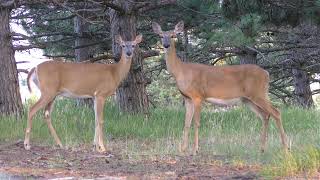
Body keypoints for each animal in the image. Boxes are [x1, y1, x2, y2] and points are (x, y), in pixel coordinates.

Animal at [151, 21, 288, 155]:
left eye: (173, 35)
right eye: (161, 36)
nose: (166, 45)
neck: (181, 71)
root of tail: (266, 73)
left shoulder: (197, 96)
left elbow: (196, 123)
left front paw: (195, 150)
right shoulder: (187, 98)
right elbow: (186, 124)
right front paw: (183, 149)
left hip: (258, 93)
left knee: (276, 112)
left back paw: (285, 147)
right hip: (248, 99)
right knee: (265, 115)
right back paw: (262, 149)